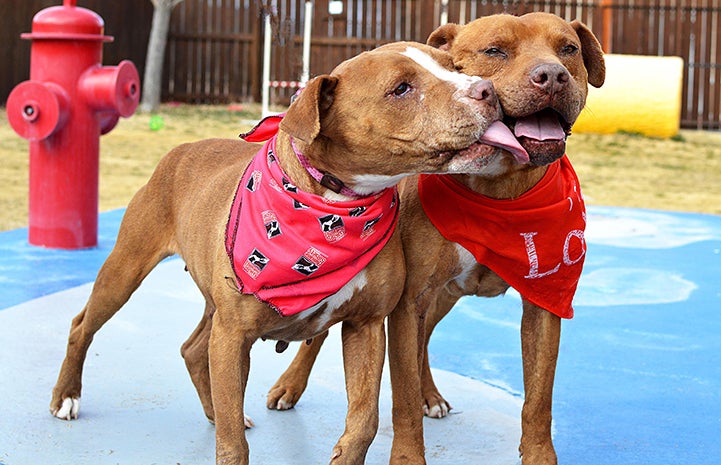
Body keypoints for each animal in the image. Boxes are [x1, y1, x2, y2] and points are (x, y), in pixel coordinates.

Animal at [47, 42, 524, 464]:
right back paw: (66, 397)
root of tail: (182, 148)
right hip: (126, 270)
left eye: (454, 66)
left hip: (213, 305)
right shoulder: (235, 334)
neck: (335, 205)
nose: (486, 90)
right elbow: (232, 445)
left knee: (194, 350)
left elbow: (364, 420)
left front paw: (344, 452)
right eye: (401, 88)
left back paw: (214, 410)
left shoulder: (366, 326)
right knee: (81, 324)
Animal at [268, 12, 604, 462]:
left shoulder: (544, 305)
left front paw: (538, 455)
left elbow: (538, 400)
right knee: (319, 335)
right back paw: (289, 385)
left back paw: (431, 394)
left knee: (424, 342)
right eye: (495, 51)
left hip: (444, 297)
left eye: (568, 49)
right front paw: (408, 454)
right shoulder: (407, 303)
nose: (552, 75)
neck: (499, 191)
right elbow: (403, 397)